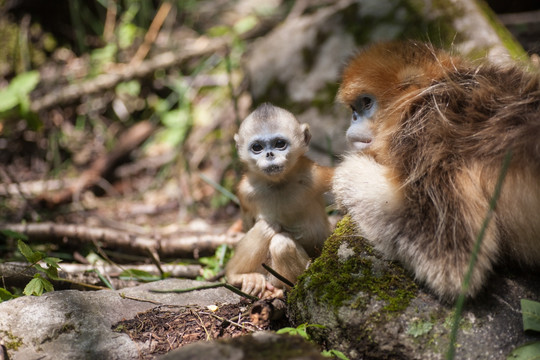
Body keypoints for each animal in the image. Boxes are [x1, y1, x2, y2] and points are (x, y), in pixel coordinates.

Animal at [225, 103, 334, 298]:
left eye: (280, 144)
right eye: (257, 147)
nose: (269, 154)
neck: (278, 184)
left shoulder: (315, 174)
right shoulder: (245, 190)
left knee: (281, 243)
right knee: (267, 227)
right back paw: (238, 276)